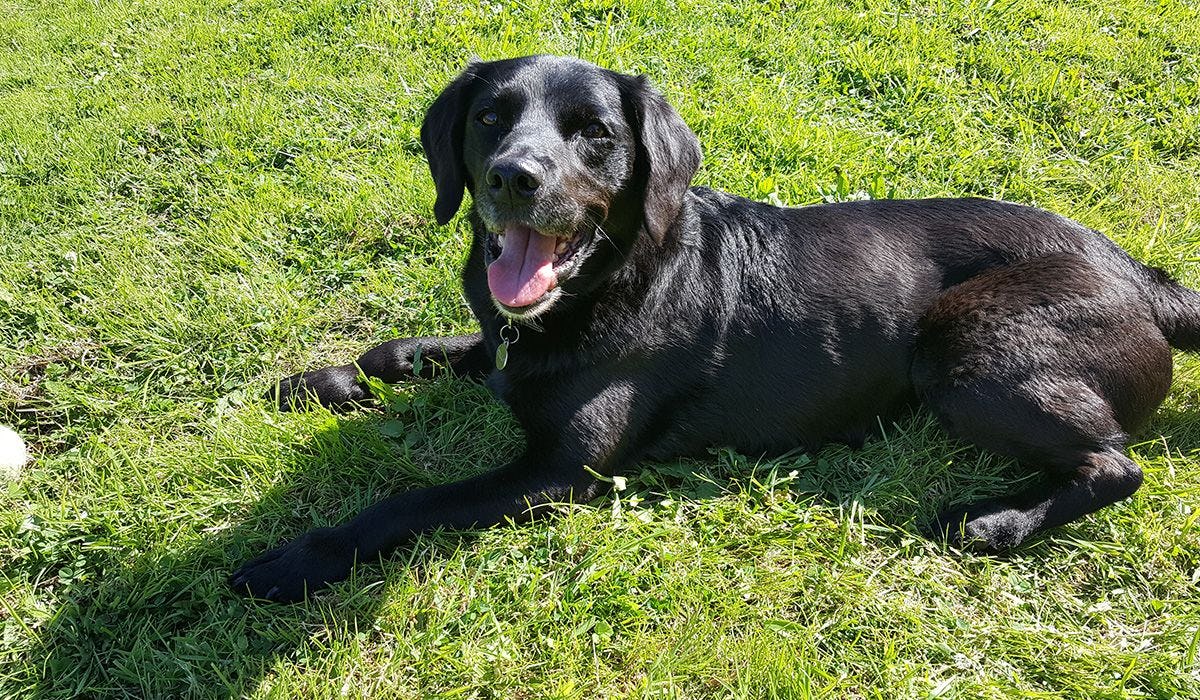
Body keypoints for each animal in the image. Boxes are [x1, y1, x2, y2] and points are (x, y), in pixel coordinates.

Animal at [226, 56, 1200, 602]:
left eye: (592, 133)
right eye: (490, 117)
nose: (512, 177)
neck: (612, 279)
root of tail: (1140, 277)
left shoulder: (560, 473)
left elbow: (406, 501)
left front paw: (294, 560)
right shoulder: (505, 348)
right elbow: (400, 350)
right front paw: (309, 383)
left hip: (963, 349)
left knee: (1118, 465)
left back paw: (993, 523)